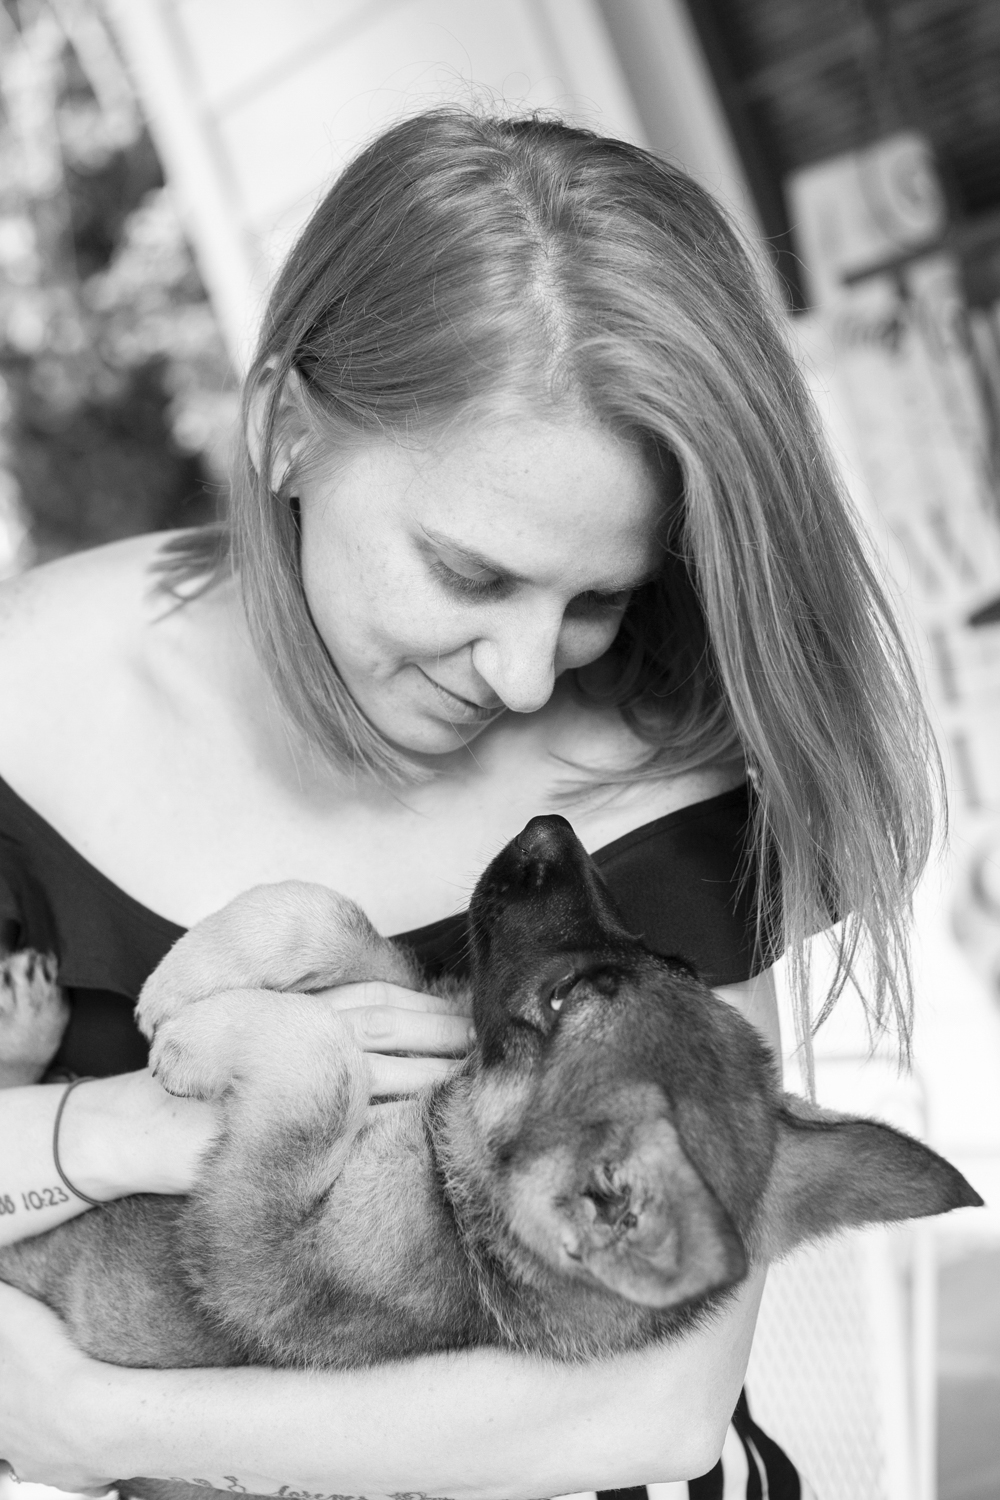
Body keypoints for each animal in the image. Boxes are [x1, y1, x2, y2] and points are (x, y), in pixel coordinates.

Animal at [0, 822, 983, 1500]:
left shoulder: (252, 1251)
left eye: (566, 999)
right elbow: (347, 929)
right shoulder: (434, 1005)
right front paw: (203, 965)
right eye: (671, 956)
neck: (447, 1171)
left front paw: (190, 1029)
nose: (551, 827)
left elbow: (325, 1057)